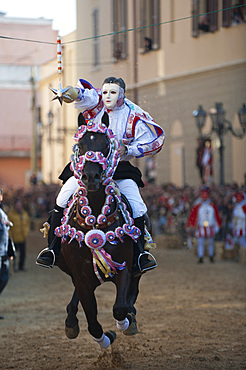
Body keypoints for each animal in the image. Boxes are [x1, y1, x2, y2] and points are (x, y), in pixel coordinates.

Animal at [55, 112, 140, 346]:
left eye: (106, 145)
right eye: (81, 145)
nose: (90, 177)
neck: (94, 222)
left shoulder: (124, 267)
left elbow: (120, 308)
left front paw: (124, 324)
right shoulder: (81, 277)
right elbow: (92, 321)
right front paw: (106, 338)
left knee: (132, 293)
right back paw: (71, 321)